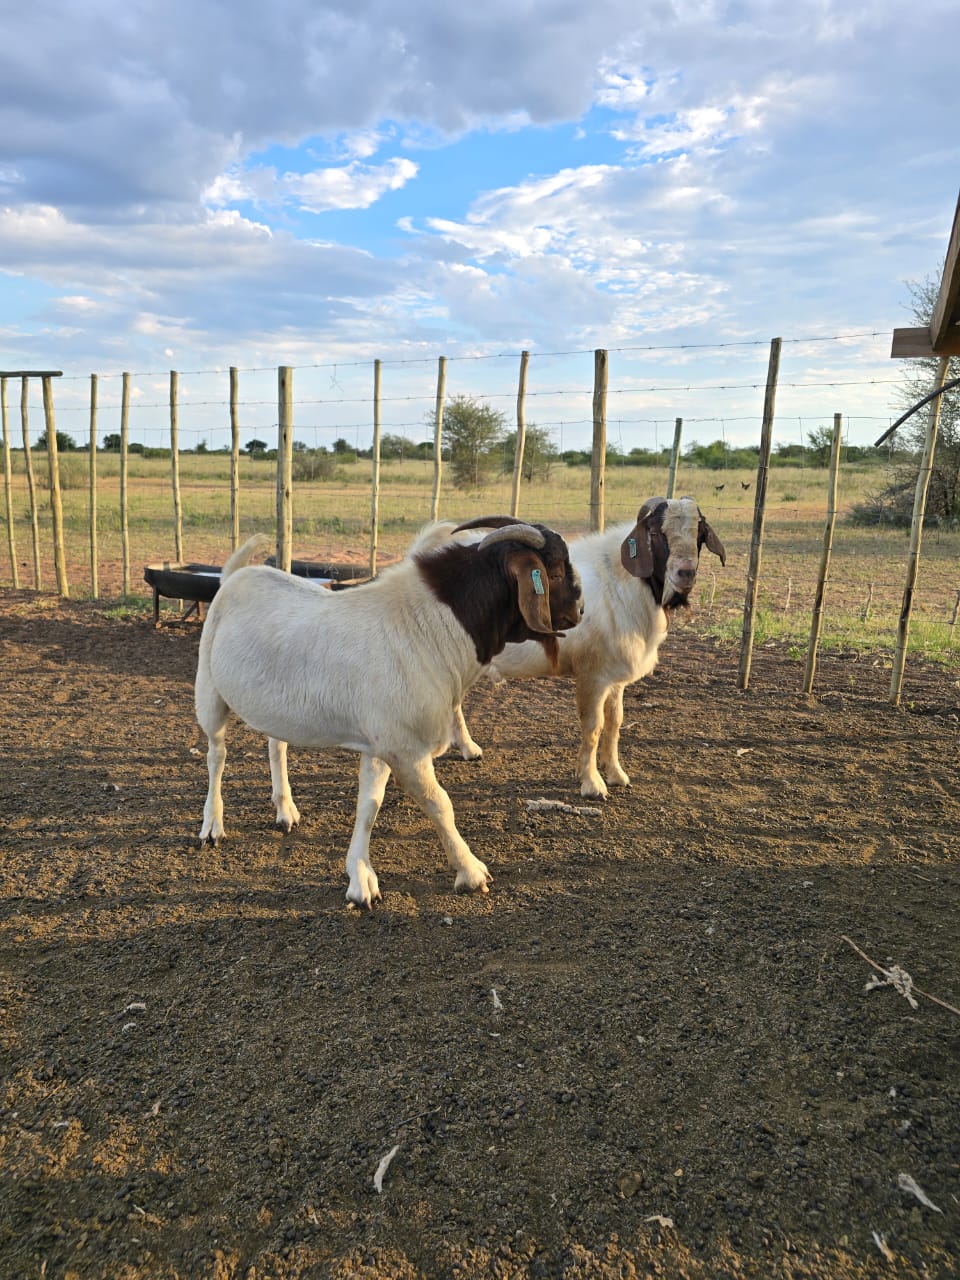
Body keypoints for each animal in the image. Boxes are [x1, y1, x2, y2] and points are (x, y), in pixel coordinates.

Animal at [195, 517, 583, 901]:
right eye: (556, 572)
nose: (580, 611)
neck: (430, 627)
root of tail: (234, 575)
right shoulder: (406, 749)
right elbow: (440, 804)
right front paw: (472, 872)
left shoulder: (381, 743)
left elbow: (369, 804)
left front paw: (360, 879)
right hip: (209, 690)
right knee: (217, 754)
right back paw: (212, 825)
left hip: (278, 709)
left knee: (277, 744)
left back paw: (285, 810)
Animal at [448, 499, 727, 798]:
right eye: (654, 532)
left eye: (700, 534)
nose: (685, 573)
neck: (618, 585)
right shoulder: (591, 676)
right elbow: (593, 727)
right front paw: (592, 783)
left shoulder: (614, 677)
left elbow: (615, 722)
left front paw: (616, 774)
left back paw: (467, 748)